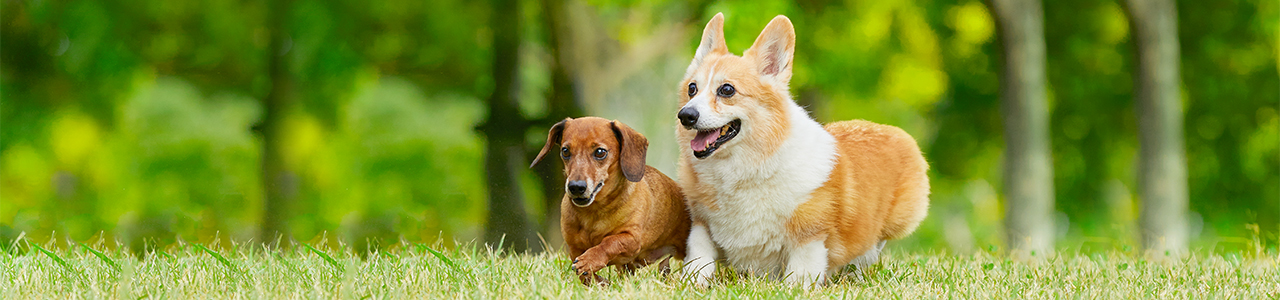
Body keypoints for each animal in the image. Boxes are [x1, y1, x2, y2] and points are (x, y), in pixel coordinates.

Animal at [527, 117, 691, 285]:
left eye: (600, 152)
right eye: (565, 151)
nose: (576, 187)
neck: (593, 213)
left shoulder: (631, 239)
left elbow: (610, 243)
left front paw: (590, 260)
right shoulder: (574, 248)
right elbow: (584, 274)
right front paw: (599, 282)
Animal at [675, 13, 936, 285]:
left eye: (727, 90)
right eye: (692, 88)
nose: (686, 116)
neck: (745, 167)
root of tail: (894, 131)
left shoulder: (810, 235)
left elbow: (800, 273)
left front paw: (793, 288)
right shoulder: (701, 223)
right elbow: (699, 256)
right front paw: (693, 282)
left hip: (896, 222)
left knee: (873, 247)